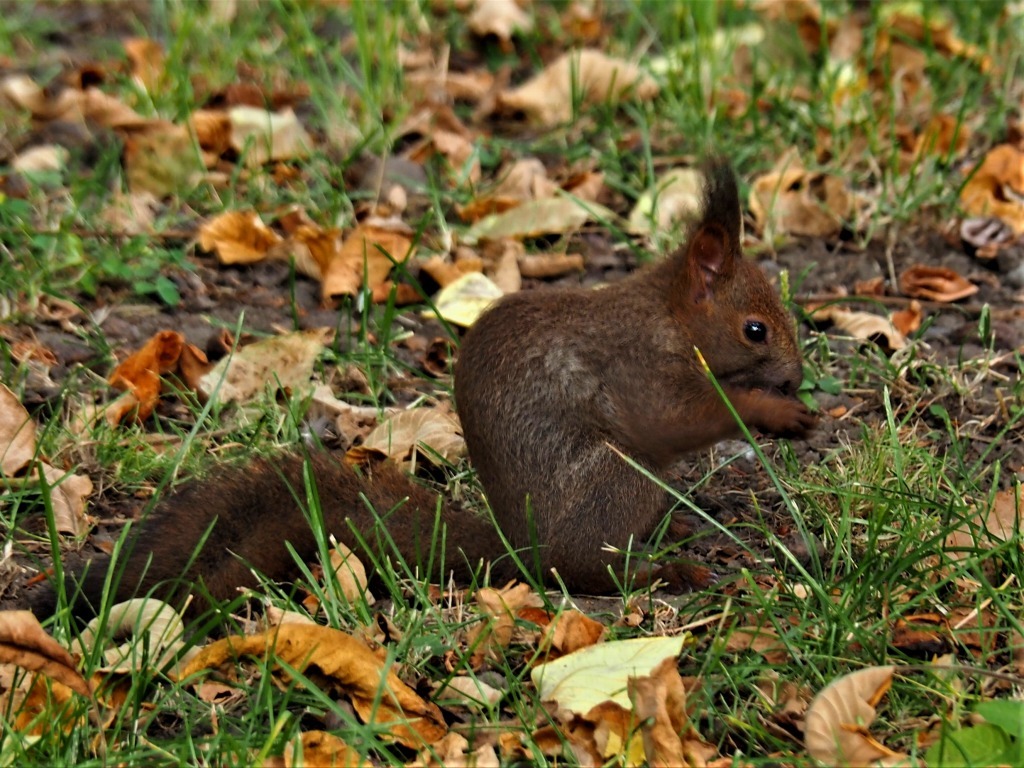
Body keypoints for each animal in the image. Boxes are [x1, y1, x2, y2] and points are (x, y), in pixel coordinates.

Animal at [29, 162, 815, 626]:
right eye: (754, 330)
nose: (796, 376)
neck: (670, 318)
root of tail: (519, 547)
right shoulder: (641, 373)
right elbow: (679, 417)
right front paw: (774, 412)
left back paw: (672, 532)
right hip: (616, 482)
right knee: (587, 571)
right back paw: (662, 569)